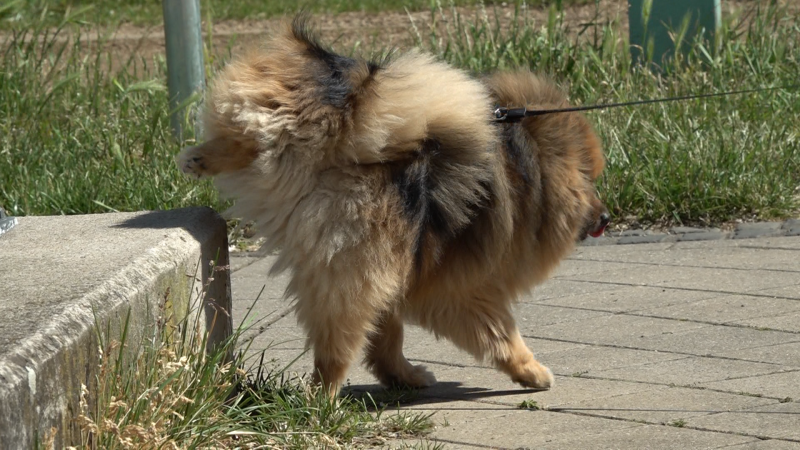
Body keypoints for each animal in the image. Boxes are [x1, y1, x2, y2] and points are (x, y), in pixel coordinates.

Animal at [178, 16, 608, 398]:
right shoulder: (463, 288)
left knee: (246, 128)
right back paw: (322, 402)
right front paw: (531, 371)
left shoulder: (398, 270)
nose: (605, 216)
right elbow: (501, 334)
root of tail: (348, 133)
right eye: (592, 180)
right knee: (335, 347)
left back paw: (200, 157)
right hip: (354, 263)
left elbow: (388, 335)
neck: (527, 166)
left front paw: (402, 375)